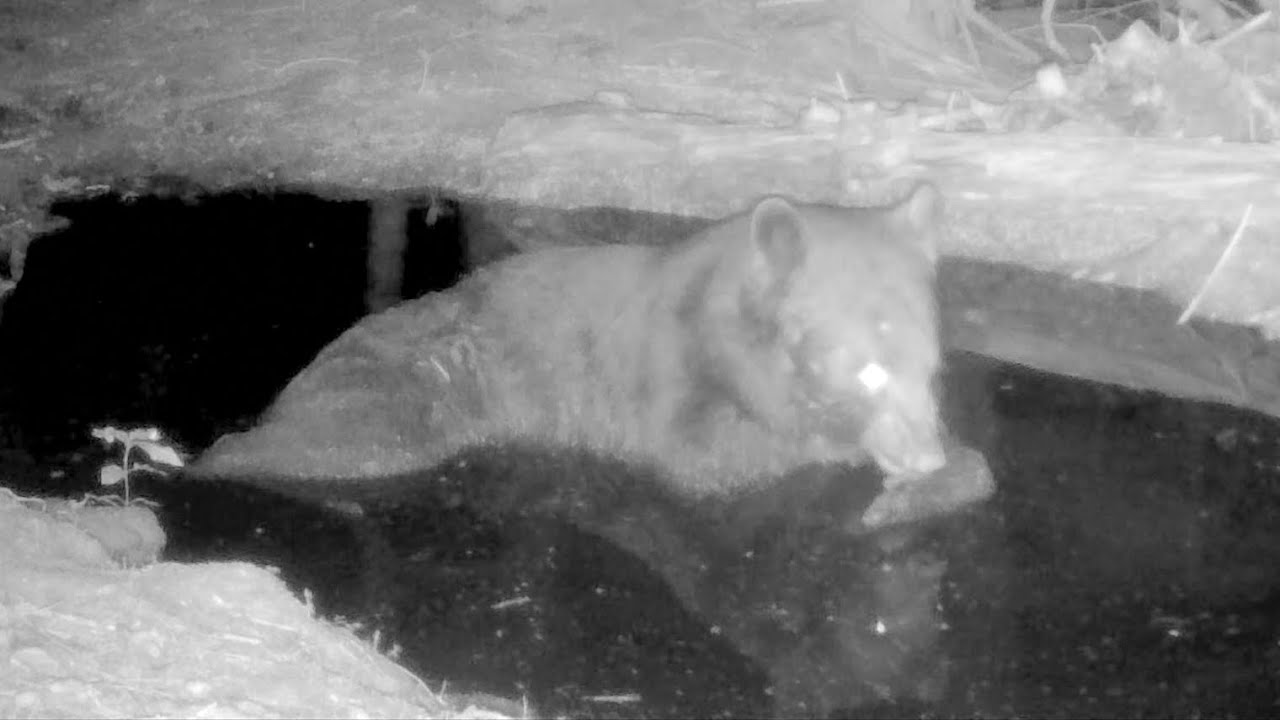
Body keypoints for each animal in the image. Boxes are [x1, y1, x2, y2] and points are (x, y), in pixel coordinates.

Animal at [190, 182, 949, 502]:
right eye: (866, 368)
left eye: (932, 367)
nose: (928, 454)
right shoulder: (670, 361)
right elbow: (701, 458)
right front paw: (849, 445)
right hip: (402, 392)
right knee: (339, 443)